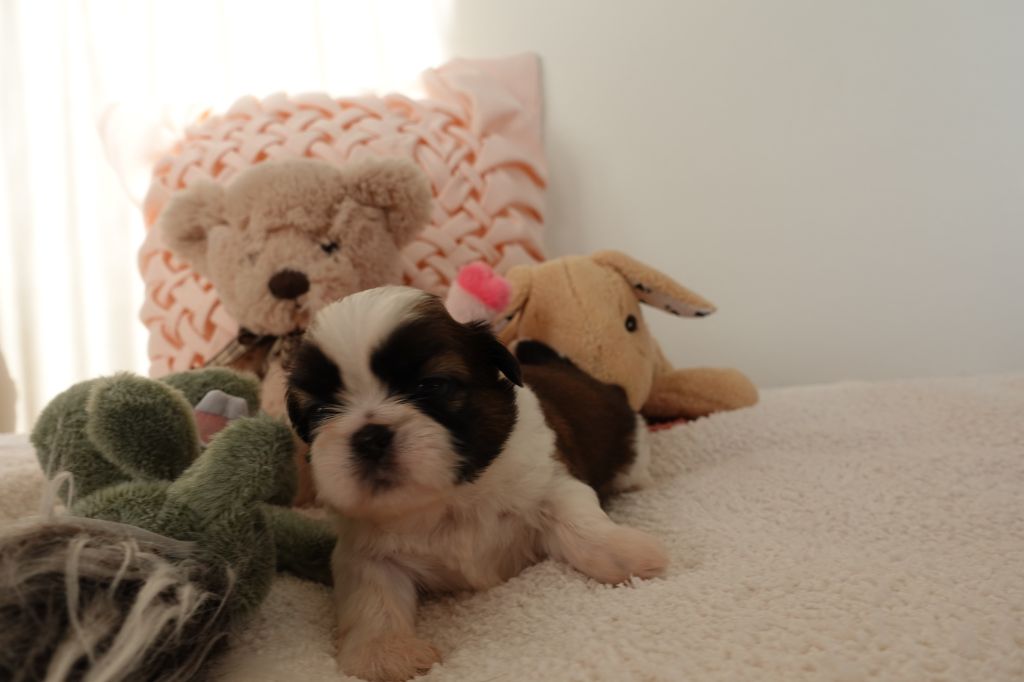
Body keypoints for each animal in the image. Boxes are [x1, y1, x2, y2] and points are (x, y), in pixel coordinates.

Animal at [285, 286, 667, 681]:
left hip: (632, 451)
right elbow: (371, 597)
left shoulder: (551, 482)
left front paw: (628, 554)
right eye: (319, 412)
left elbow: (580, 524)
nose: (369, 437)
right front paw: (384, 653)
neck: (447, 499)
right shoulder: (365, 552)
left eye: (432, 385)